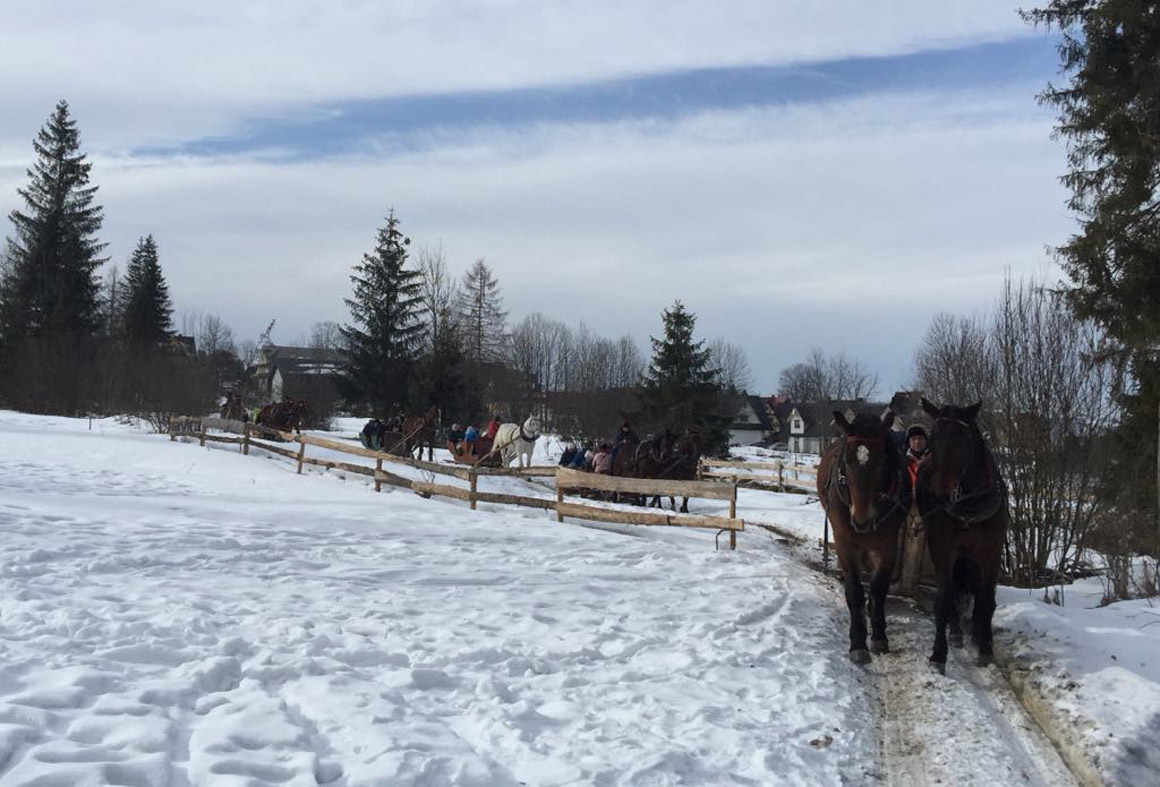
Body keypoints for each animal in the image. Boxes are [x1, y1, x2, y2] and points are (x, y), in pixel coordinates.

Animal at [817, 410, 911, 664]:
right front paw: (858, 643)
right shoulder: (845, 542)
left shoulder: (887, 544)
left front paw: (879, 636)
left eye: (881, 461)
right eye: (847, 461)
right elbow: (854, 590)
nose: (860, 519)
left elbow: (879, 587)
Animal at [918, 398, 1008, 674]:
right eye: (933, 438)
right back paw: (956, 631)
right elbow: (943, 600)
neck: (970, 504)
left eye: (963, 439)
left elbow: (986, 601)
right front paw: (938, 654)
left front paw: (986, 649)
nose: (940, 490)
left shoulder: (991, 554)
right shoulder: (943, 552)